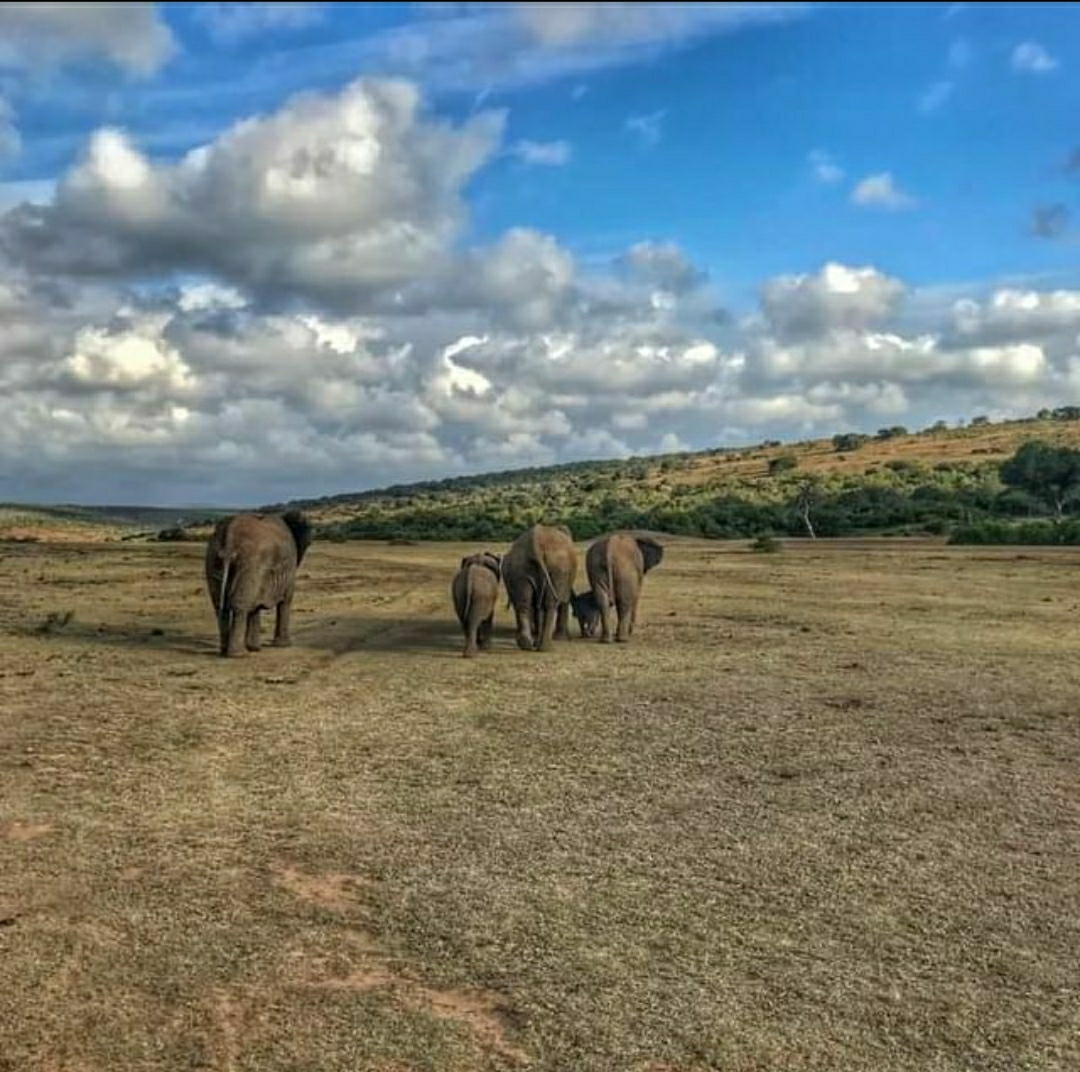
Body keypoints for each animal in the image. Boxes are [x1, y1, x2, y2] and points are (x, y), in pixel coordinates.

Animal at [203, 507, 313, 656]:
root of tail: (229, 535)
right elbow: (286, 600)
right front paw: (283, 645)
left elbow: (255, 605)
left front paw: (255, 648)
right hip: (250, 562)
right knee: (240, 605)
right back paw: (238, 654)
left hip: (214, 559)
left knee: (220, 606)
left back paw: (224, 651)